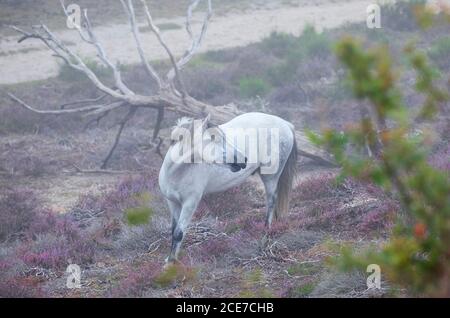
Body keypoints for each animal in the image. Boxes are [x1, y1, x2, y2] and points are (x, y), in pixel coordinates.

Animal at [159, 113, 298, 262]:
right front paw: (169, 259)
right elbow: (173, 231)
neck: (176, 173)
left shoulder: (190, 203)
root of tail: (286, 124)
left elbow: (179, 233)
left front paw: (172, 263)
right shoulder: (172, 203)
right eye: (213, 138)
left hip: (271, 177)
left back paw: (264, 237)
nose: (243, 159)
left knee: (271, 203)